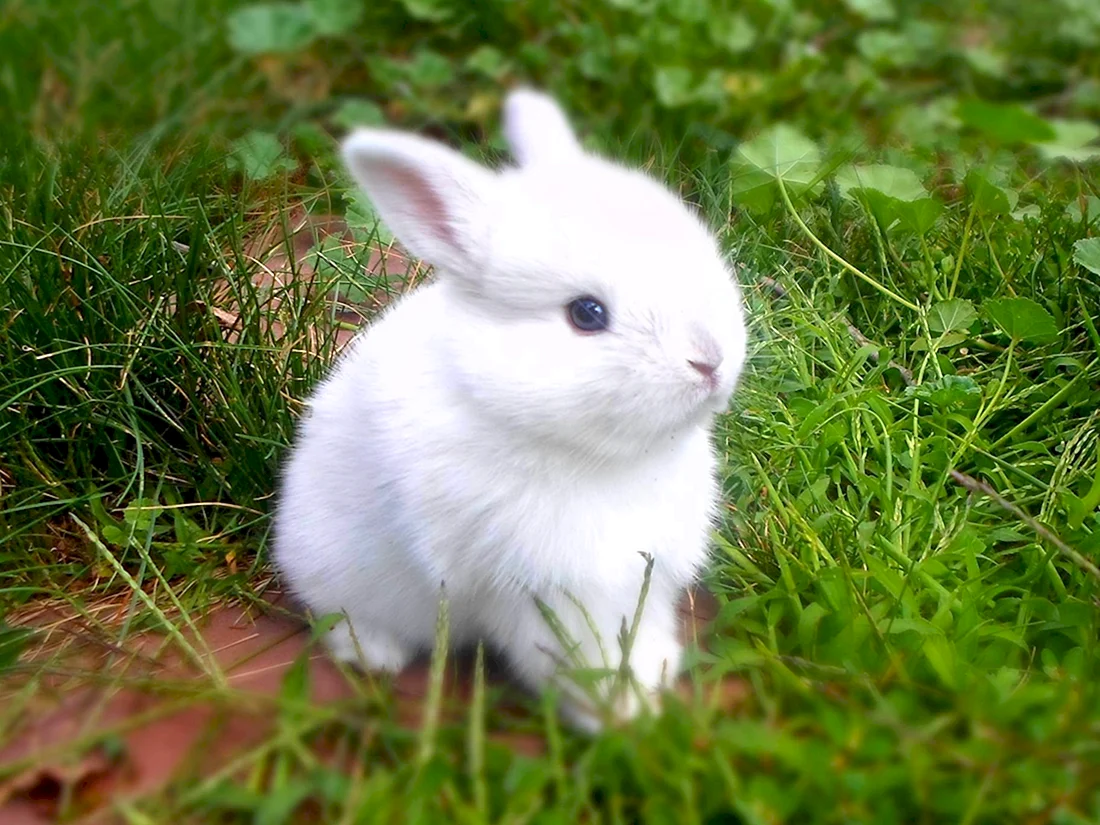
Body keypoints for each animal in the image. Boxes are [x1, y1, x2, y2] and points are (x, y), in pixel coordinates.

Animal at [271, 88, 748, 731]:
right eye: (587, 314)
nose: (711, 360)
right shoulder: (540, 590)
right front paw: (619, 716)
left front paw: (653, 681)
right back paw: (376, 655)